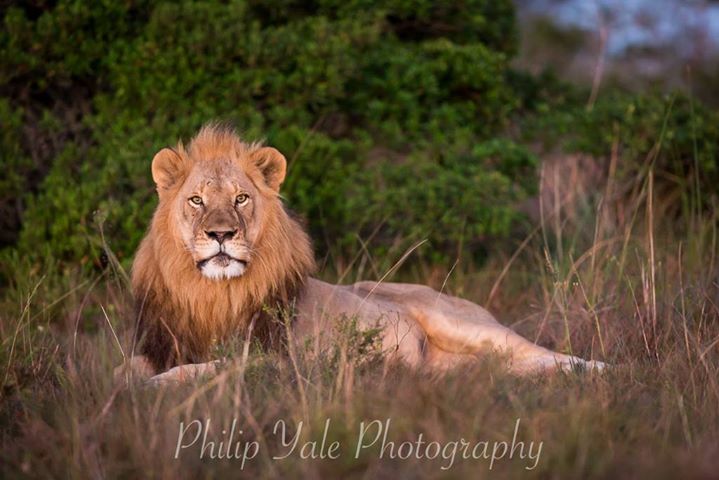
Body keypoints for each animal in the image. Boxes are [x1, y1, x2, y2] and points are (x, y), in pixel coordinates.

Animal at [121, 125, 604, 384]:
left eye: (241, 198)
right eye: (196, 200)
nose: (220, 234)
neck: (211, 294)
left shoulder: (274, 360)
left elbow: (201, 369)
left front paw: (156, 386)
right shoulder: (162, 342)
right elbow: (122, 369)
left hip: (464, 323)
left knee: (539, 352)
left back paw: (597, 370)